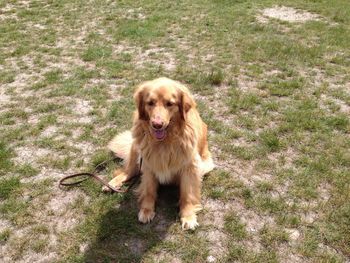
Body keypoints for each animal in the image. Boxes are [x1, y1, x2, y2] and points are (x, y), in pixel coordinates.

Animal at [105, 77, 215, 230]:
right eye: (150, 103)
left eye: (170, 104)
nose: (157, 124)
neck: (165, 142)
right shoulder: (148, 163)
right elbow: (149, 190)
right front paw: (146, 210)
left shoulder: (190, 167)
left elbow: (187, 194)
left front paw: (188, 216)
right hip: (135, 148)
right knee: (128, 172)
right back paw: (111, 184)